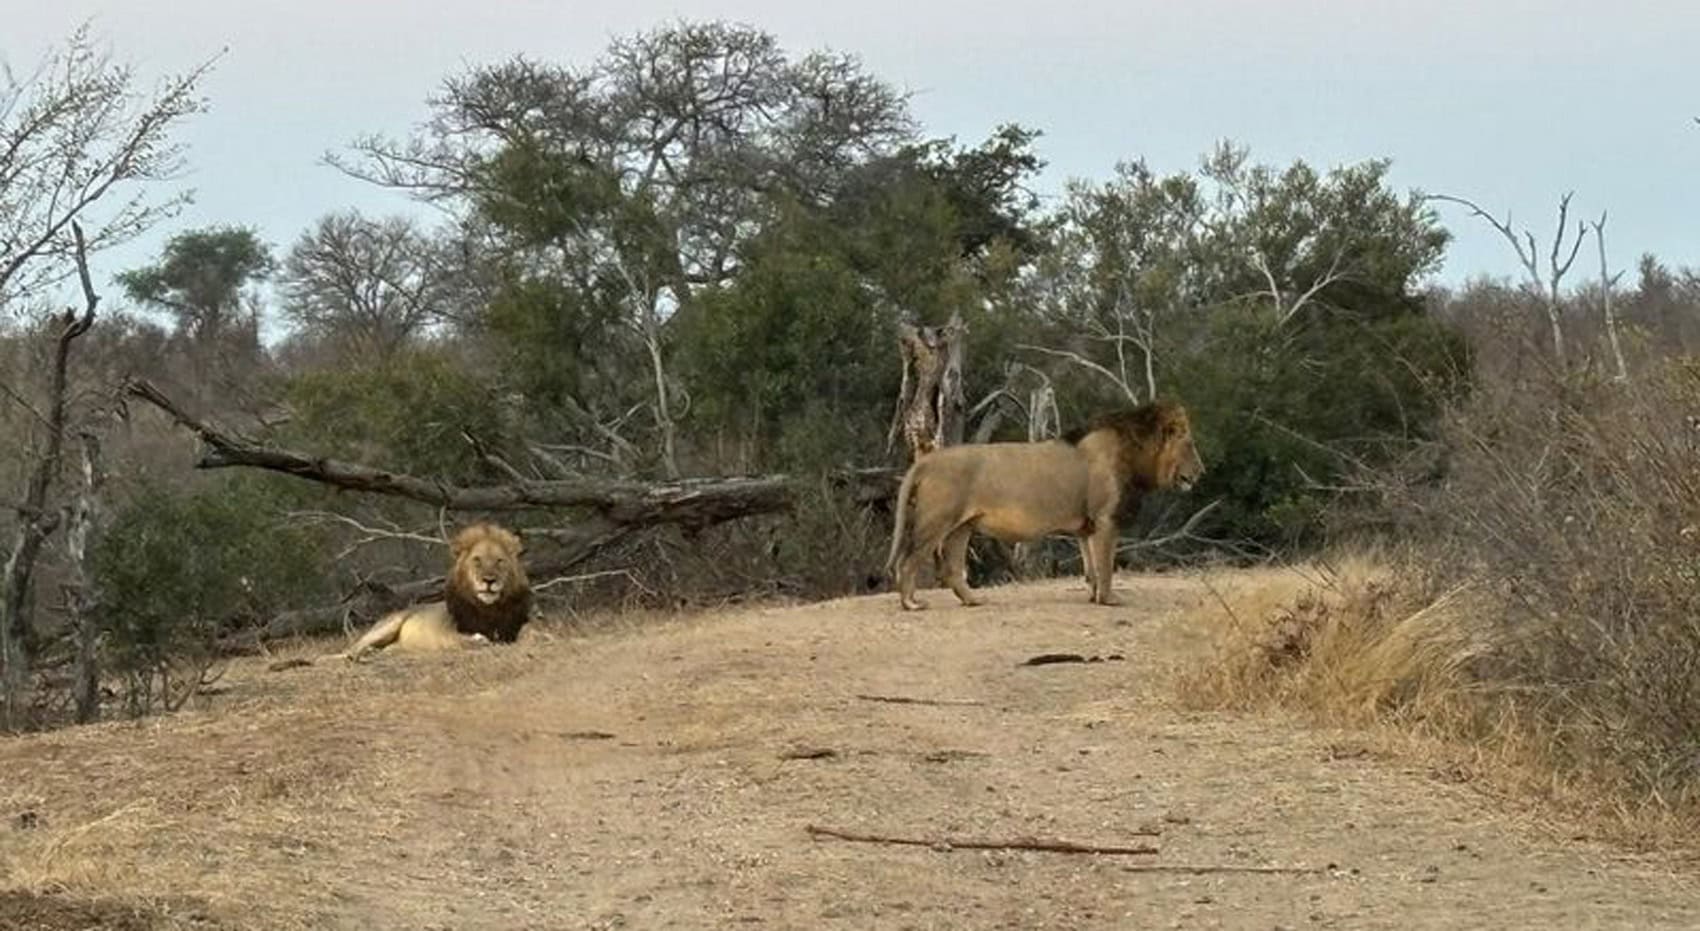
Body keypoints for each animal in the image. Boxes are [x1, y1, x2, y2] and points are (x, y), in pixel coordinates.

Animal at [341, 522, 533, 662]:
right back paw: (364, 655)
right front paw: (480, 640)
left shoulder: (514, 625)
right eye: (477, 560)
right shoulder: (450, 633)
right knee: (352, 651)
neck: (489, 609)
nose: (489, 580)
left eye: (499, 561)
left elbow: (528, 631)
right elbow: (466, 640)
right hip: (389, 625)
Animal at [885, 400, 1204, 610]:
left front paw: (1093, 597)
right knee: (908, 561)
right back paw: (911, 603)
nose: (1201, 472)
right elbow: (1106, 565)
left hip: (962, 526)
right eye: (1189, 443)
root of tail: (926, 461)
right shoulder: (1105, 519)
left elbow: (1091, 566)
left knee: (951, 568)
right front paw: (1109, 599)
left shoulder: (1087, 527)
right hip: (935, 522)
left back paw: (974, 600)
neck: (1134, 454)